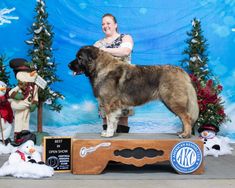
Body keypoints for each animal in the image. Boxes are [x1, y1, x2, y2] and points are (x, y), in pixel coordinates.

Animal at [68, 46, 198, 138]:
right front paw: (111, 132)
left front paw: (108, 134)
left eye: (80, 57)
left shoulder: (110, 103)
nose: (68, 65)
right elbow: (113, 121)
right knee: (183, 117)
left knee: (186, 117)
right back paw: (181, 132)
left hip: (172, 100)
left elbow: (110, 120)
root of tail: (181, 71)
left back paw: (185, 134)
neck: (99, 68)